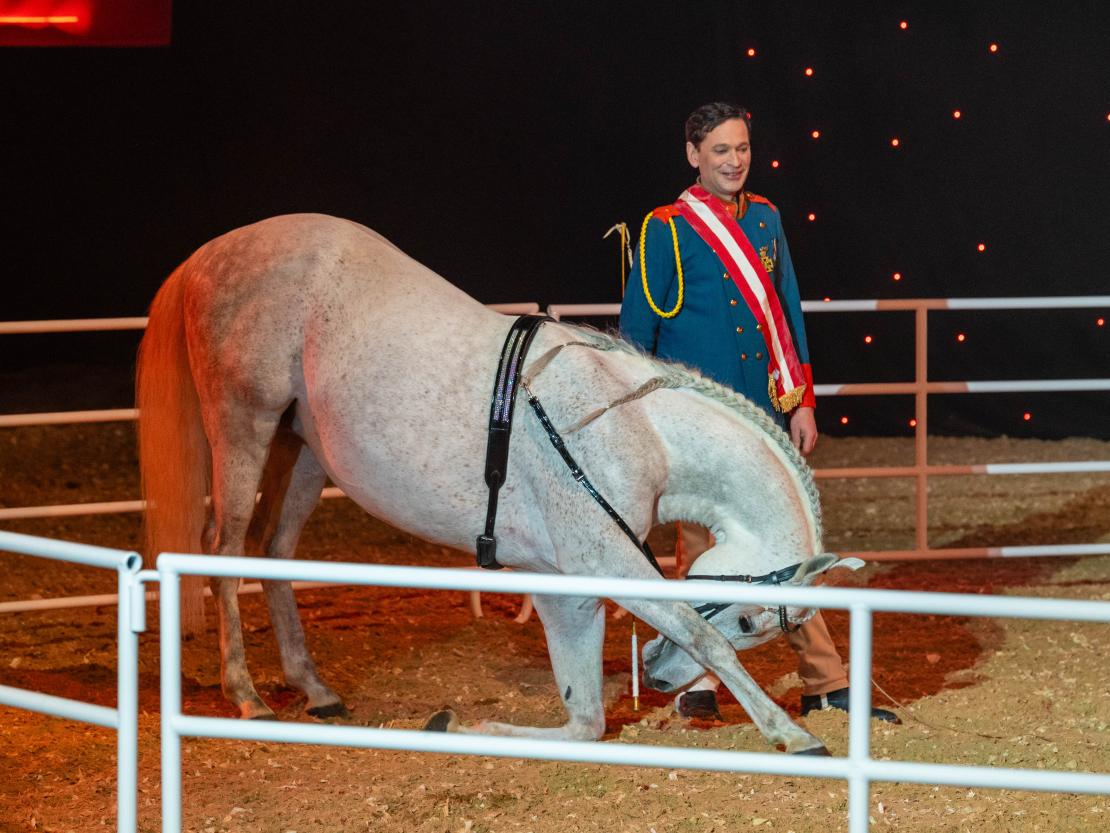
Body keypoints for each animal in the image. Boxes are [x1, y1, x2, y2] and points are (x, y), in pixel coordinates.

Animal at [137, 213, 856, 755]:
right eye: (749, 619)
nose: (655, 677)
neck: (633, 424)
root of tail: (209, 254)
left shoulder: (566, 585)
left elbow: (586, 721)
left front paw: (473, 724)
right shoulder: (605, 562)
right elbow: (697, 634)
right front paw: (792, 733)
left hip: (302, 452)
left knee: (273, 551)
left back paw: (313, 689)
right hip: (245, 424)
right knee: (223, 551)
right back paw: (247, 695)